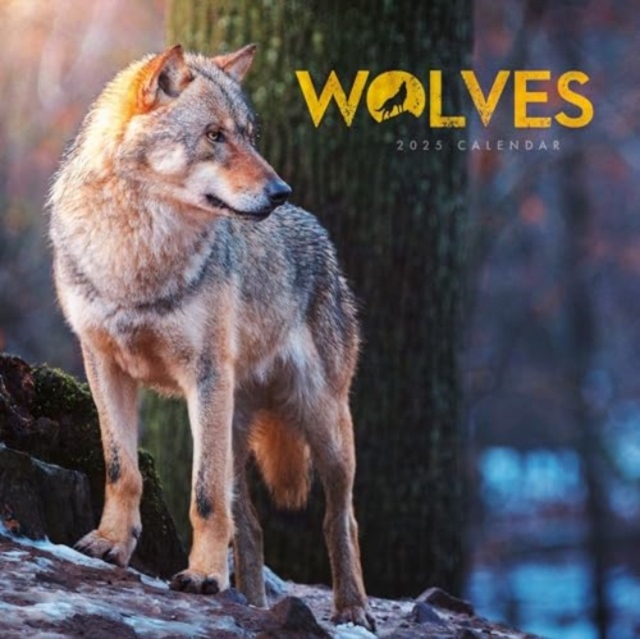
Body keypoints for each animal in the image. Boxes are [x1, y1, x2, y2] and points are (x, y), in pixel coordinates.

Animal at [48, 44, 373, 629]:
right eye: (214, 135)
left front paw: (201, 577)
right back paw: (255, 603)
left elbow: (203, 499)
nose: (279, 191)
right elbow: (121, 468)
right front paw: (110, 543)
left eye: (249, 134)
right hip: (236, 428)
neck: (139, 249)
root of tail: (321, 235)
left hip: (322, 424)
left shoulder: (204, 377)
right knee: (250, 523)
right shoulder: (102, 362)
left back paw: (352, 610)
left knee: (341, 518)